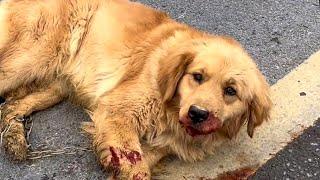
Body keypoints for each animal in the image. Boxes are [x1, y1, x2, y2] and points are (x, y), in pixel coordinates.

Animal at [0, 0, 272, 179]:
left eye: (231, 91)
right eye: (197, 76)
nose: (197, 114)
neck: (170, 107)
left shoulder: (160, 147)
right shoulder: (117, 113)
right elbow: (136, 168)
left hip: (58, 82)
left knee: (10, 106)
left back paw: (15, 140)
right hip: (32, 57)